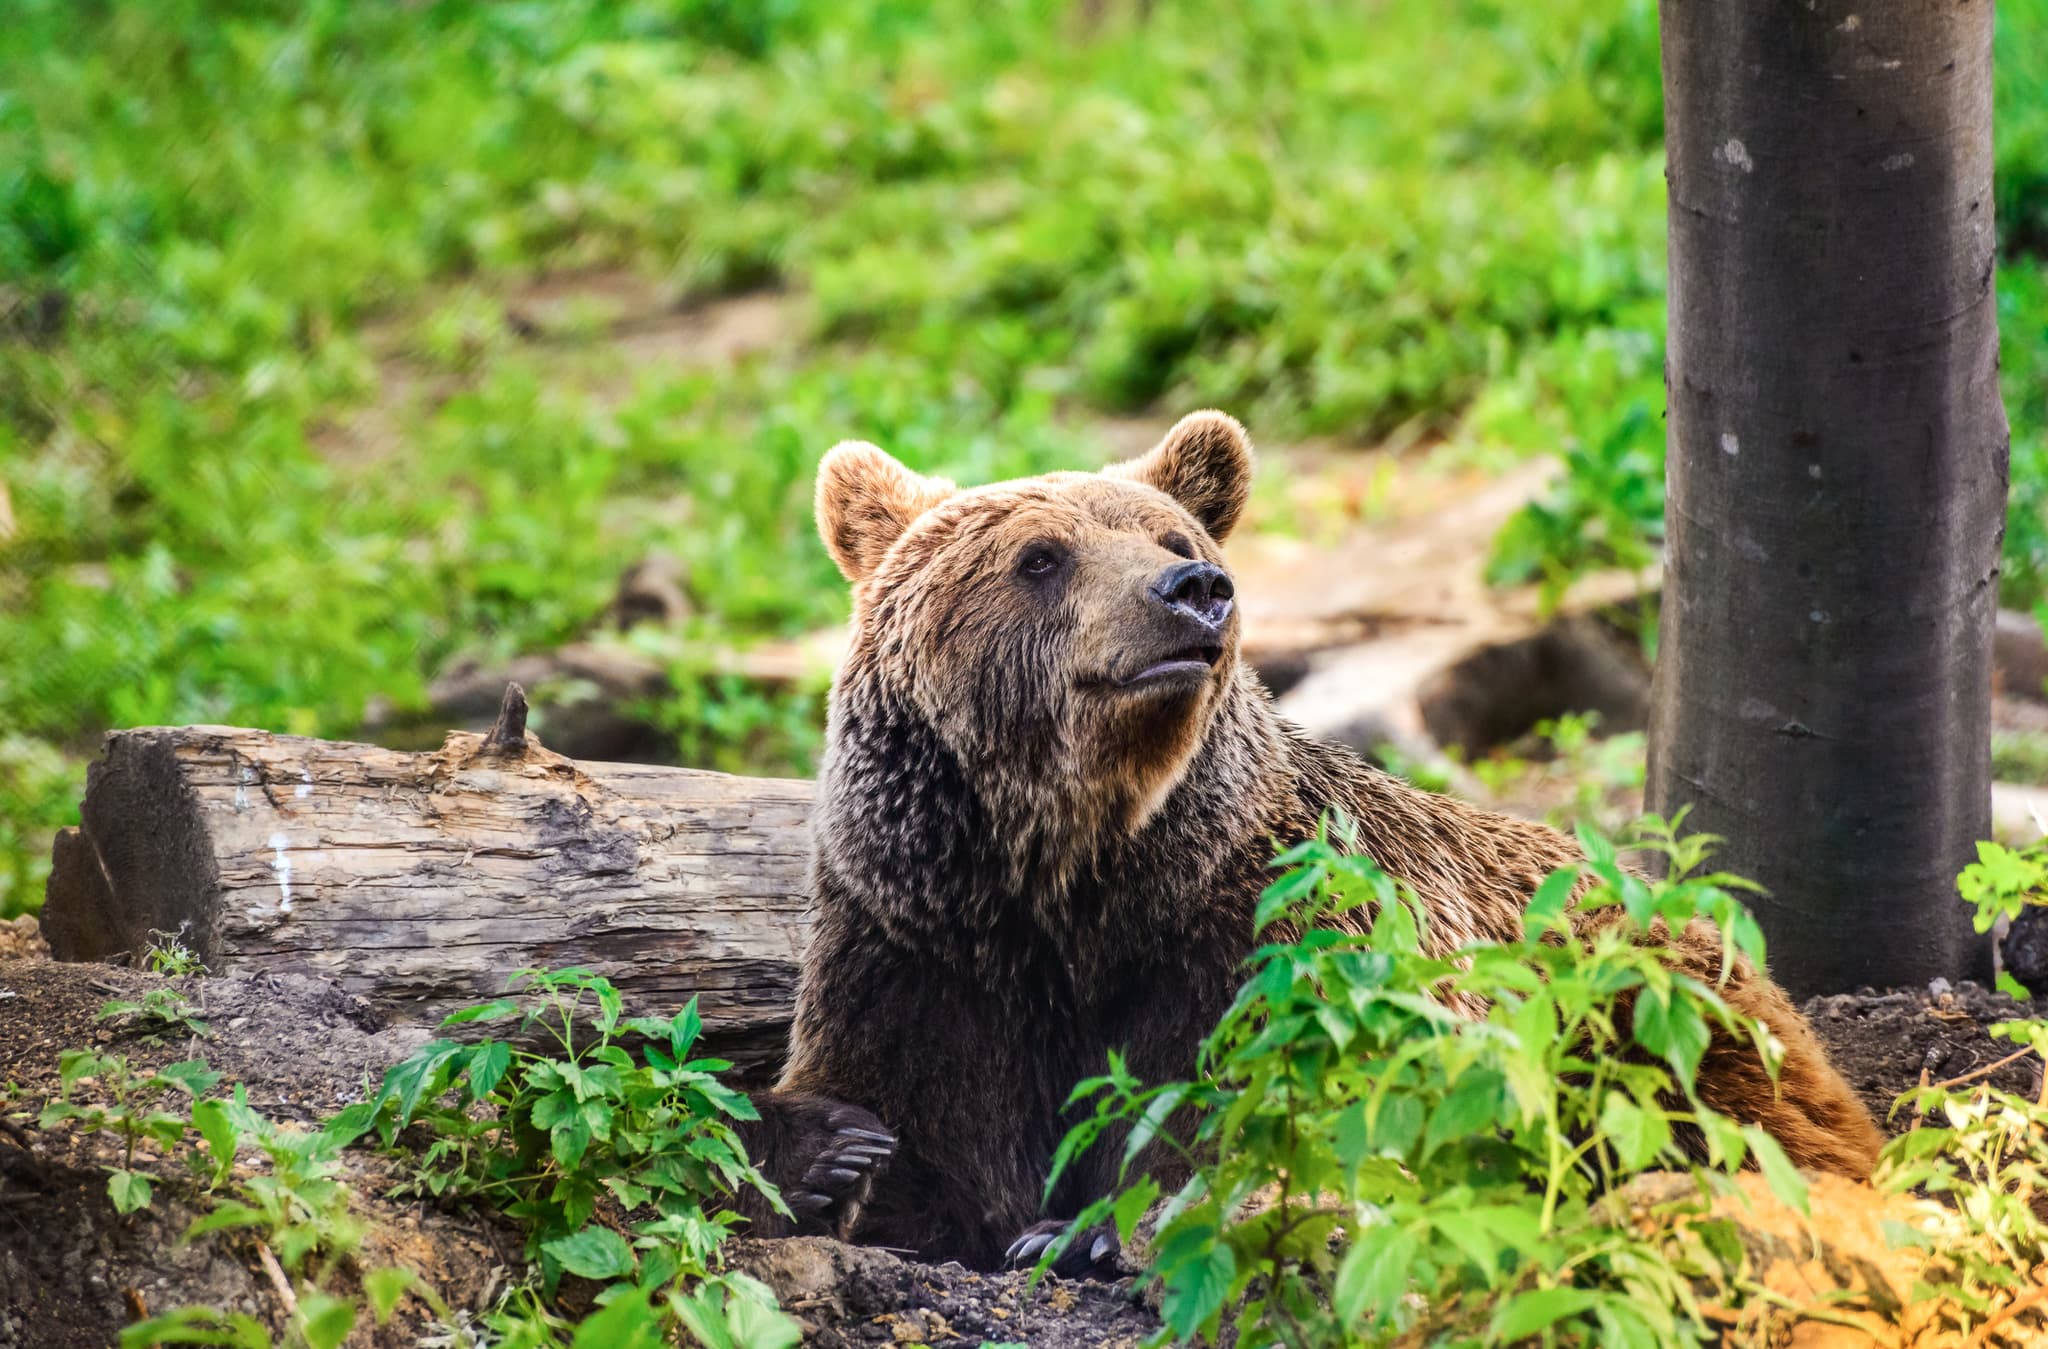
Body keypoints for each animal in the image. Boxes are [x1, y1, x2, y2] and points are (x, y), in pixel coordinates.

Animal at [734, 409, 1884, 1272]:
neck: (1080, 868)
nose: (1193, 591)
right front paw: (837, 1151)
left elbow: (1275, 1105)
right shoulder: (926, 939)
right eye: (1040, 555)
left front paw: (1084, 1228)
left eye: (1174, 541)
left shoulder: (1262, 926)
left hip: (1640, 993)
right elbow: (910, 1123)